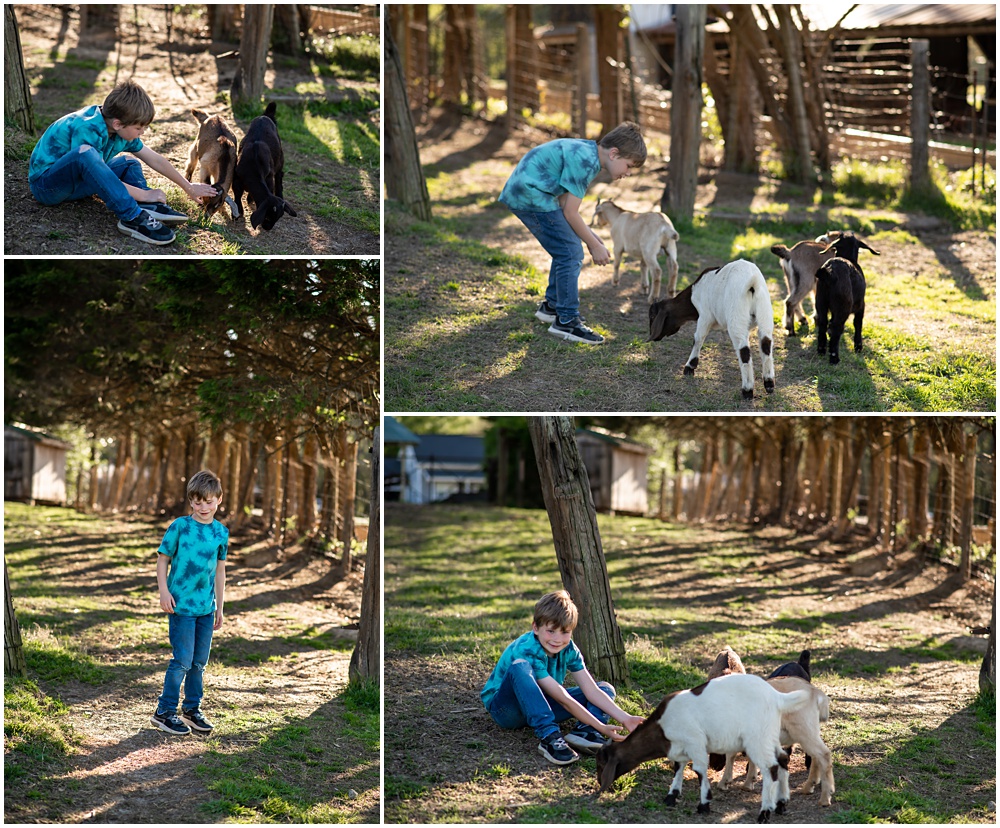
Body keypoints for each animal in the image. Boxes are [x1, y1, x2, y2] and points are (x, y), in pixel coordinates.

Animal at [231, 101, 296, 230]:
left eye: (278, 218)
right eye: (267, 217)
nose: (267, 228)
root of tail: (265, 116)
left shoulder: (268, 178)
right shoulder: (236, 179)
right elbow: (237, 194)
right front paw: (238, 212)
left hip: (280, 159)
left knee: (279, 176)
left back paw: (279, 195)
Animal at [596, 676, 808, 824]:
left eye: (601, 764)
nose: (599, 783)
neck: (662, 727)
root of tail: (777, 697)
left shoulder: (695, 741)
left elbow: (698, 770)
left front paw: (704, 804)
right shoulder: (681, 747)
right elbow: (679, 768)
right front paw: (672, 796)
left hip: (757, 739)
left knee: (771, 768)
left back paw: (765, 812)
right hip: (769, 736)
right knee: (783, 760)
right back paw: (781, 803)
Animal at [644, 260, 776, 400]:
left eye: (652, 316)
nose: (654, 337)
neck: (693, 294)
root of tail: (752, 281)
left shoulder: (704, 316)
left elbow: (698, 339)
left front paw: (689, 367)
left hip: (736, 317)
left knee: (744, 351)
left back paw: (747, 390)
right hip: (764, 313)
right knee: (766, 345)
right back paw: (769, 384)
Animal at [816, 233, 880, 362]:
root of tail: (829, 271)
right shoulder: (861, 305)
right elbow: (858, 323)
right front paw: (858, 347)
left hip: (820, 301)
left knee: (823, 323)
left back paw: (821, 350)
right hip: (843, 306)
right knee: (836, 327)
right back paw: (834, 358)